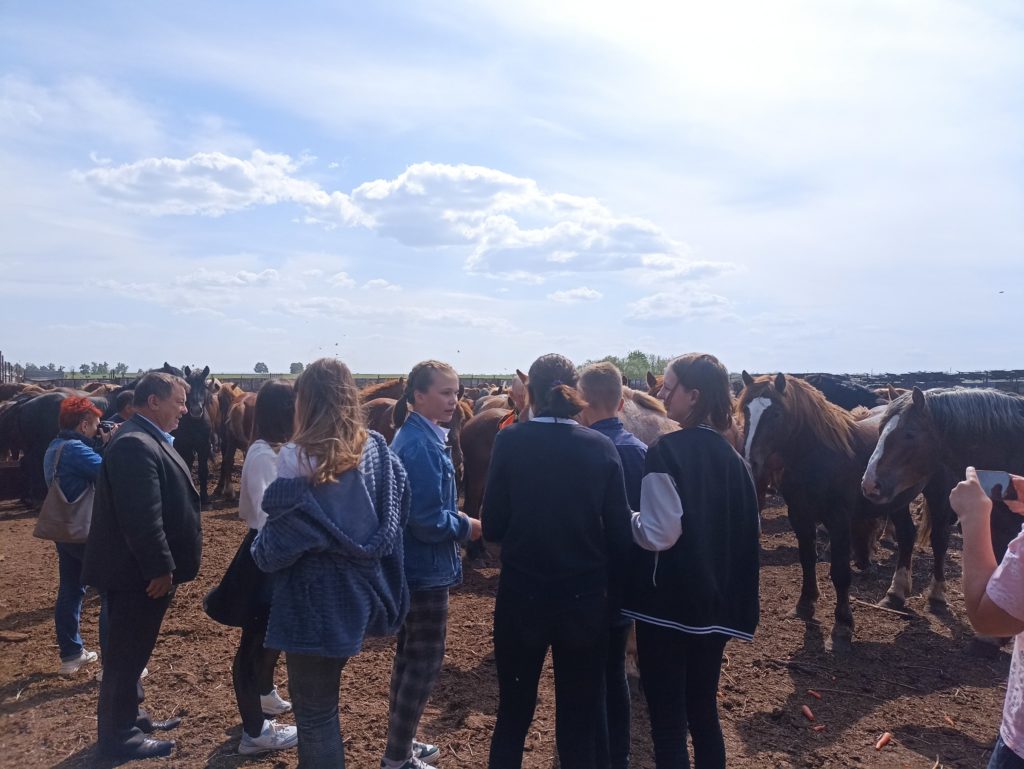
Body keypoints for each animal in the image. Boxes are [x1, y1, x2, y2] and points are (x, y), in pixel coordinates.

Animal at [737, 370, 921, 651]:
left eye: (776, 413)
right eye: (746, 410)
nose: (750, 462)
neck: (819, 458)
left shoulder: (838, 519)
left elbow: (840, 572)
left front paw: (842, 626)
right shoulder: (799, 515)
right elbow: (807, 559)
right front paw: (805, 603)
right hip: (897, 502)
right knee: (907, 535)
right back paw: (895, 594)